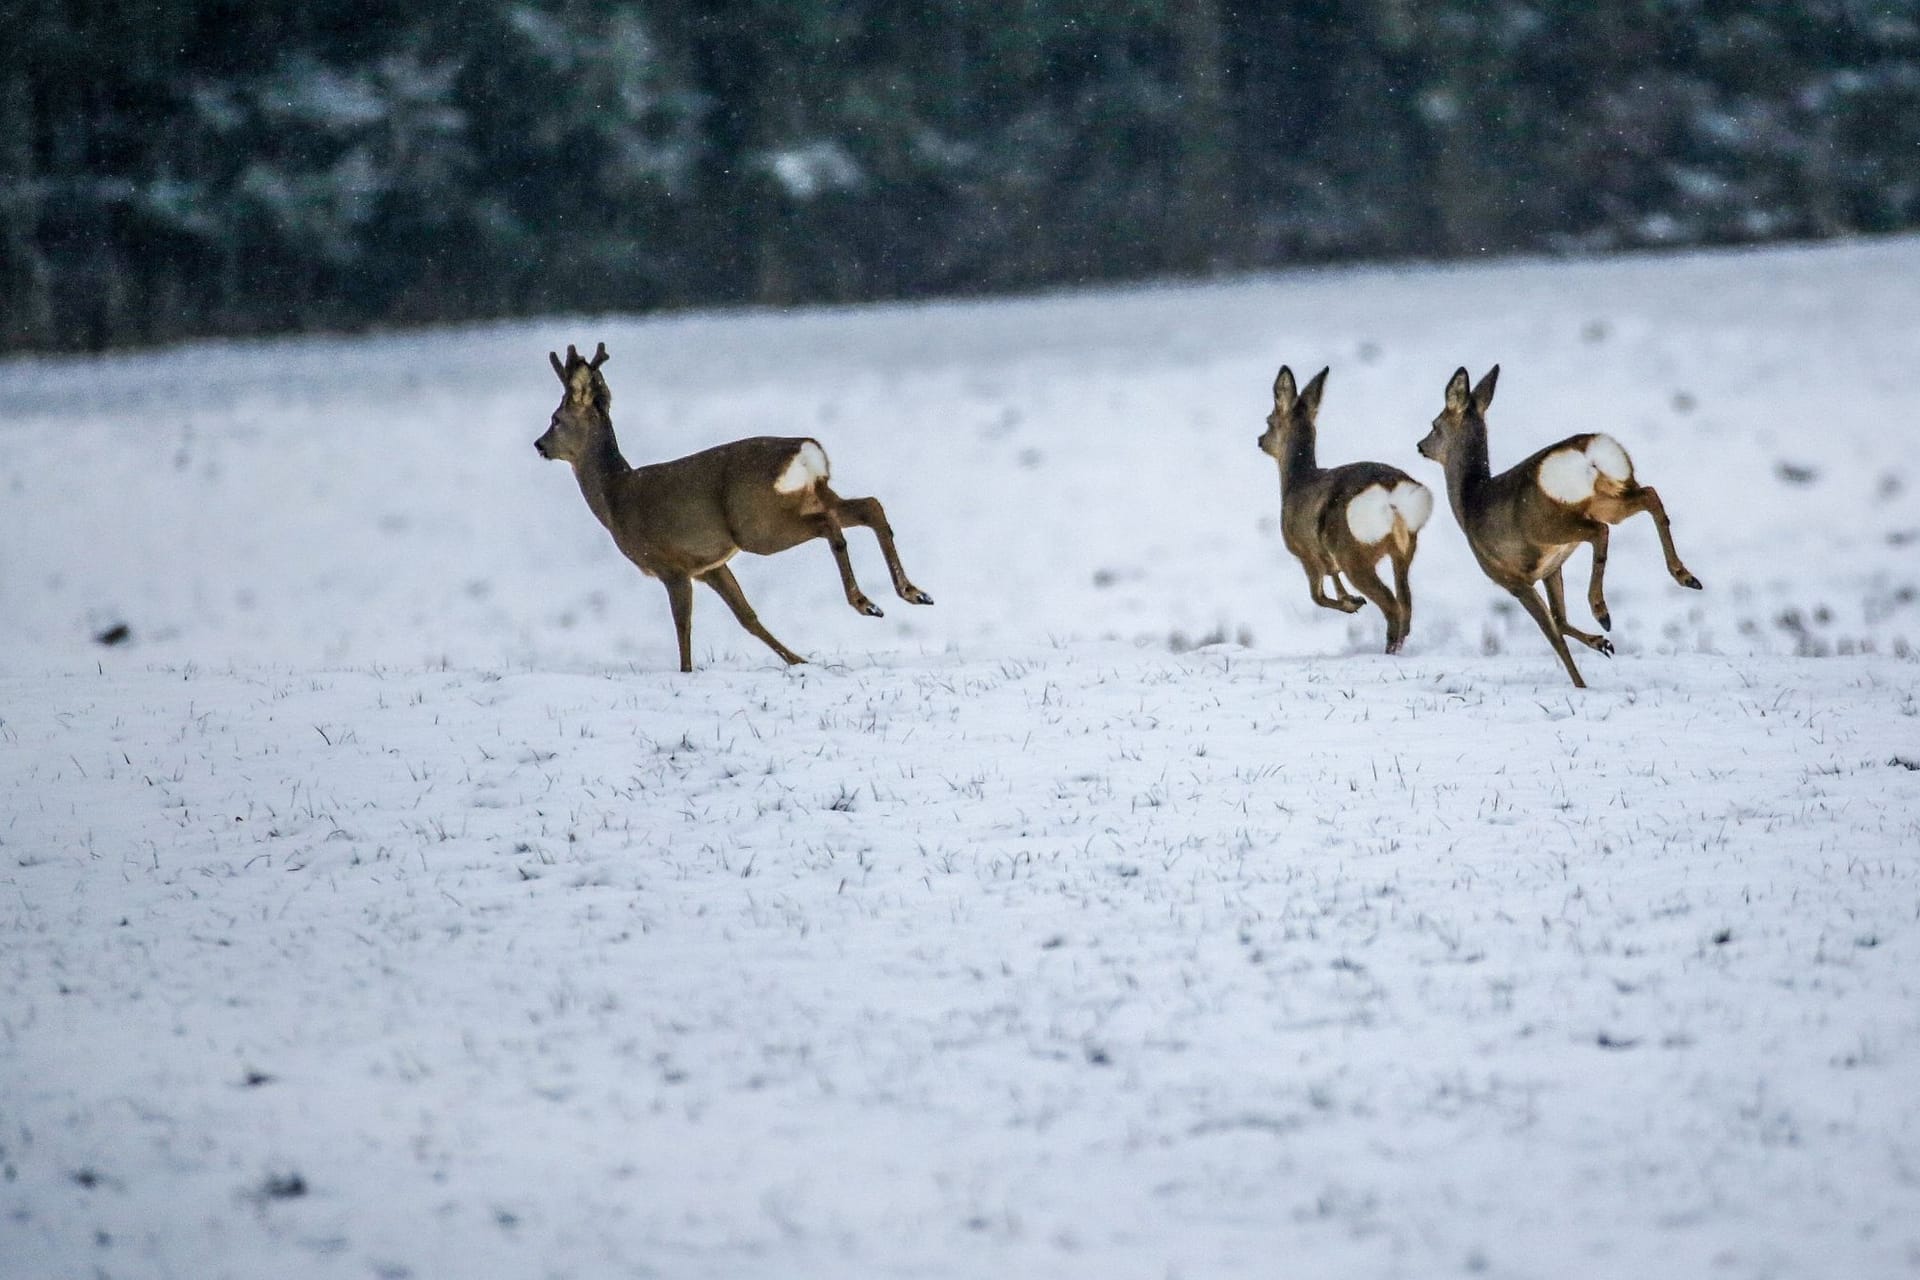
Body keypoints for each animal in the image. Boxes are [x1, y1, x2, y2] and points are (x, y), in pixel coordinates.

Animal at [537, 345, 933, 675]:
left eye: (555, 418)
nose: (539, 444)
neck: (613, 497)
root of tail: (806, 450)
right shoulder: (710, 565)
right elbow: (748, 617)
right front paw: (800, 662)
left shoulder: (670, 564)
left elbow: (683, 624)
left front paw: (686, 673)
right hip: (810, 495)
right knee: (869, 506)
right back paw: (912, 592)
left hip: (757, 524)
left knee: (828, 524)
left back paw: (865, 601)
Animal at [1267, 364, 1436, 656]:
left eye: (1269, 421)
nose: (1260, 440)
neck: (1295, 482)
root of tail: (1391, 494)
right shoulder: (1326, 555)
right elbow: (1333, 579)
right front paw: (1351, 599)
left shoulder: (1304, 551)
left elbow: (1317, 596)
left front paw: (1352, 604)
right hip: (1405, 548)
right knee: (1405, 604)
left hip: (1354, 553)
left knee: (1392, 606)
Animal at [1413, 364, 1712, 687]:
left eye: (1434, 424)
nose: (1420, 446)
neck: (1469, 503)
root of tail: (1588, 455)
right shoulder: (1550, 566)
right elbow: (1560, 619)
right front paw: (1602, 644)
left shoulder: (1511, 579)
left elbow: (1554, 636)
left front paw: (1581, 683)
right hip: (1607, 498)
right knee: (1649, 496)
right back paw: (1685, 576)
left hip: (1550, 521)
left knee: (1600, 531)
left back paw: (1602, 610)